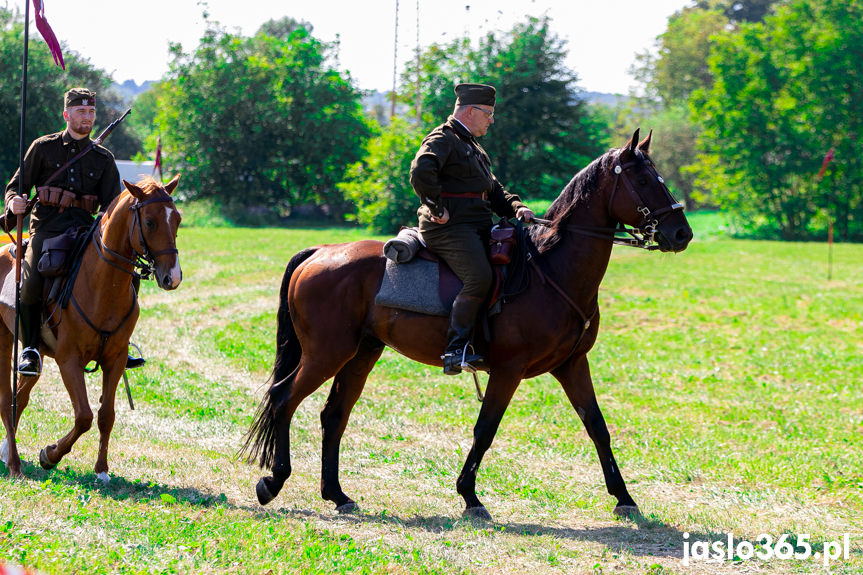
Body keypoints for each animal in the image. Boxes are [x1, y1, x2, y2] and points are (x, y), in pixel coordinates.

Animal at [0, 177, 182, 482]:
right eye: (150, 221)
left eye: (177, 219)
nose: (173, 277)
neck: (102, 285)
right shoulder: (68, 360)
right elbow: (84, 416)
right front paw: (49, 455)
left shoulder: (115, 359)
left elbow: (106, 414)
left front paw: (102, 470)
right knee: (6, 400)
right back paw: (13, 463)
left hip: (36, 354)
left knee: (20, 397)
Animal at [245, 132, 696, 520]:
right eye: (643, 179)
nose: (681, 233)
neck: (549, 269)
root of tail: (320, 251)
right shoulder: (508, 370)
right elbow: (486, 429)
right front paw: (470, 496)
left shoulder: (572, 365)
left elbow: (598, 428)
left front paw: (624, 497)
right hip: (326, 353)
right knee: (284, 398)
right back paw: (273, 482)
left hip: (360, 354)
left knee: (334, 415)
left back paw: (337, 494)